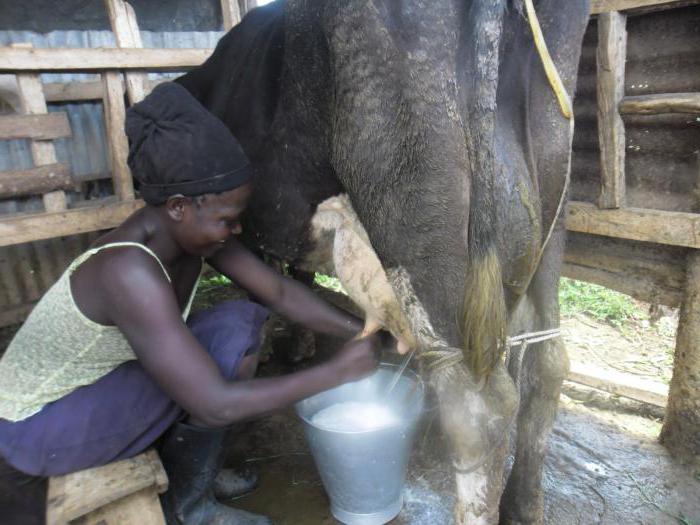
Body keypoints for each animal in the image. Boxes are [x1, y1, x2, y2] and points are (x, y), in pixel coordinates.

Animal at [176, 2, 592, 520]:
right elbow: (295, 280)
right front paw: (300, 345)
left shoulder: (249, 229)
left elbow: (270, 285)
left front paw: (282, 345)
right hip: (551, 221)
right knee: (547, 361)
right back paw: (524, 505)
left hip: (417, 216)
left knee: (480, 408)